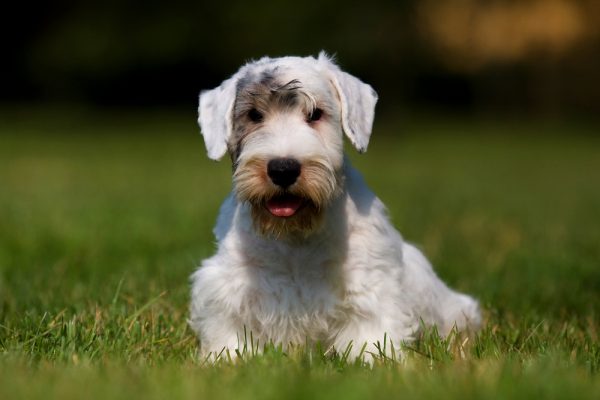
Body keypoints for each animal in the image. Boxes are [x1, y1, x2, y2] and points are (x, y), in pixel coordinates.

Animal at [190, 51, 480, 360]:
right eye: (254, 115)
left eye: (315, 114)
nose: (283, 169)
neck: (294, 236)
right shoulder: (230, 288)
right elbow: (231, 332)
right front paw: (228, 357)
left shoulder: (369, 286)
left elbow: (371, 333)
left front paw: (372, 359)